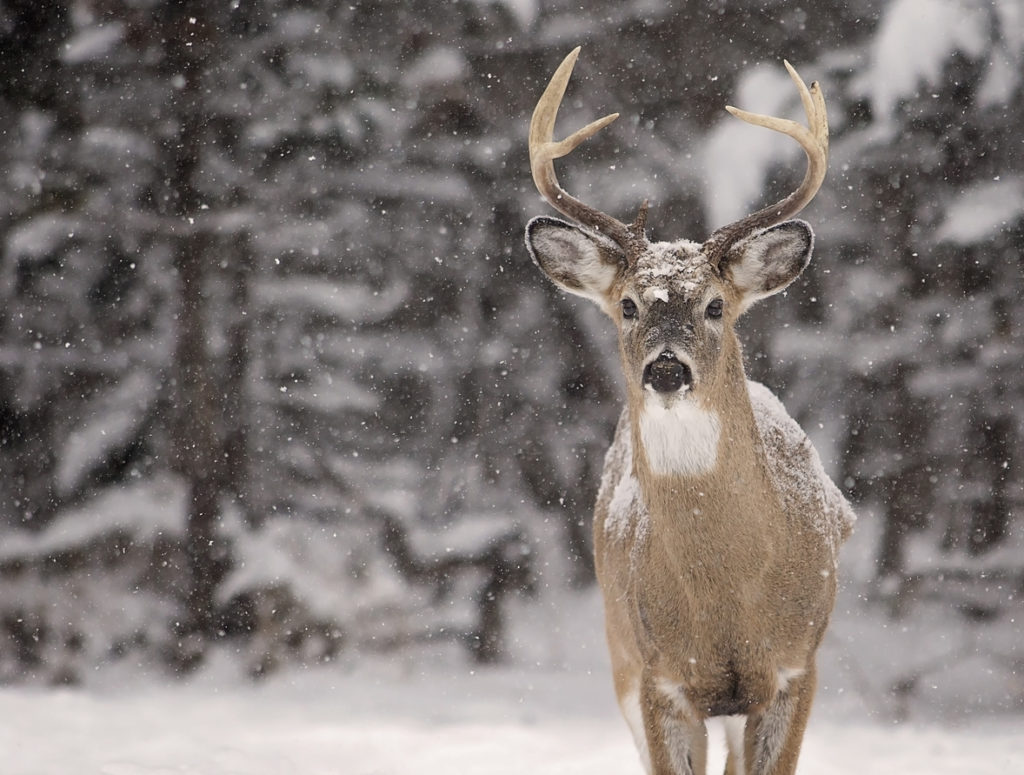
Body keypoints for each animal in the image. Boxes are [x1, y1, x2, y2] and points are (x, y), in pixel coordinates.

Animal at [524, 48, 851, 773]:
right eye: (627, 305)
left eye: (715, 305)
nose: (667, 368)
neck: (728, 596)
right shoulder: (658, 678)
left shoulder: (797, 667)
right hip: (620, 655)